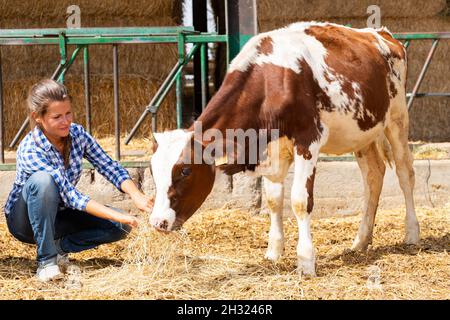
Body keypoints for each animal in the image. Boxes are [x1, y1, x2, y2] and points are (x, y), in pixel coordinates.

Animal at [149, 21, 420, 278]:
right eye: (153, 171)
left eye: (185, 171)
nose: (157, 222)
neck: (270, 81)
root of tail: (381, 34)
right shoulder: (272, 149)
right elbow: (273, 199)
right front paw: (274, 252)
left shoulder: (308, 141)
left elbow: (300, 200)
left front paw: (306, 261)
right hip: (363, 133)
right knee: (373, 176)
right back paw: (360, 241)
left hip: (397, 119)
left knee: (405, 174)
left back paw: (412, 233)